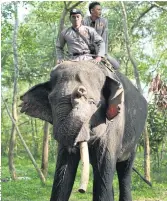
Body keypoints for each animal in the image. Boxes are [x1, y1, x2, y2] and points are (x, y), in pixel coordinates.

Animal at [19, 60, 147, 201]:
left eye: (92, 102)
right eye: (50, 100)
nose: (79, 91)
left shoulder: (115, 125)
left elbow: (104, 167)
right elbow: (63, 173)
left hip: (134, 141)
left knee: (124, 171)